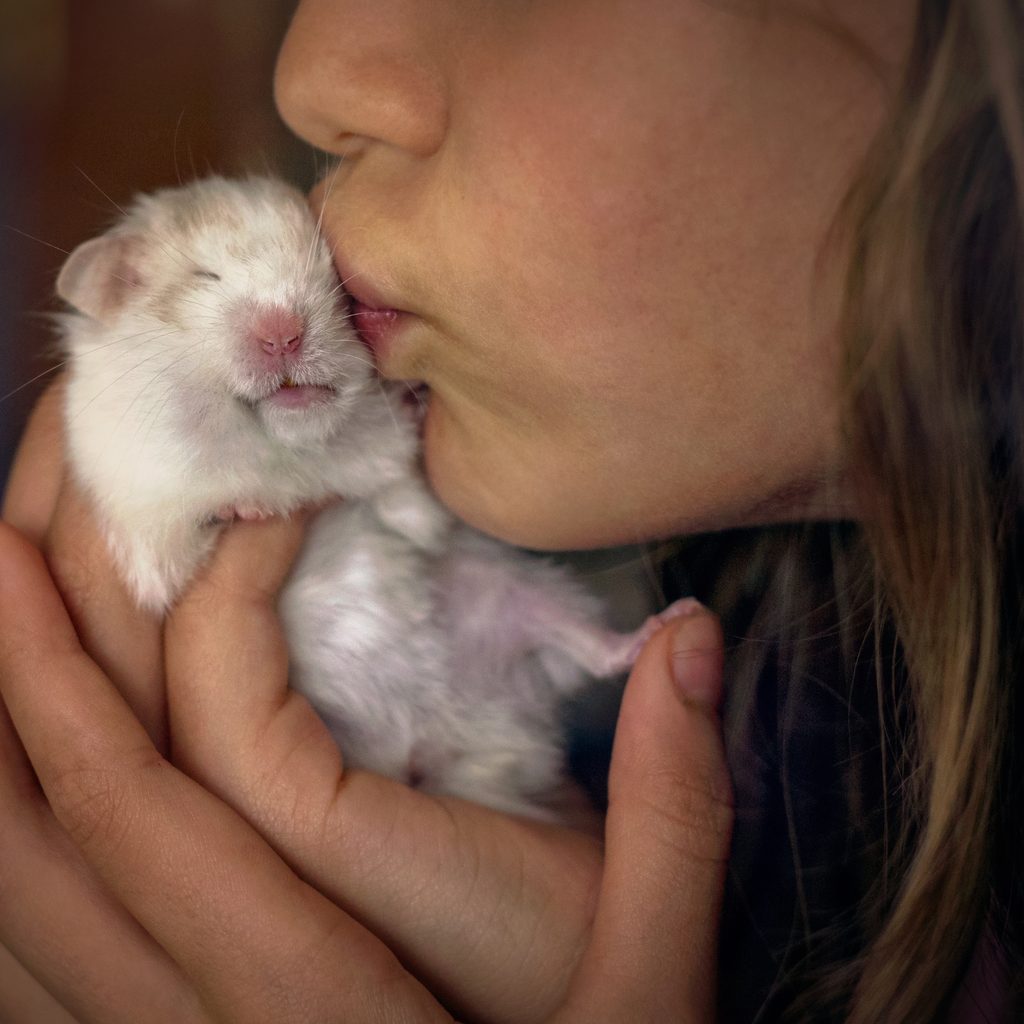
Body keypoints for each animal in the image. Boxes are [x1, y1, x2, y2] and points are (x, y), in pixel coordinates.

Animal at [56, 175, 675, 824]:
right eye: (205, 276)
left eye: (333, 280)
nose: (283, 334)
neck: (287, 450)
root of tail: (431, 743)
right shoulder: (141, 513)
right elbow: (180, 547)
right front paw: (247, 507)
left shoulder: (400, 488)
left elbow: (412, 513)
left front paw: (407, 407)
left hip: (520, 590)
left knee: (590, 646)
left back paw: (669, 626)